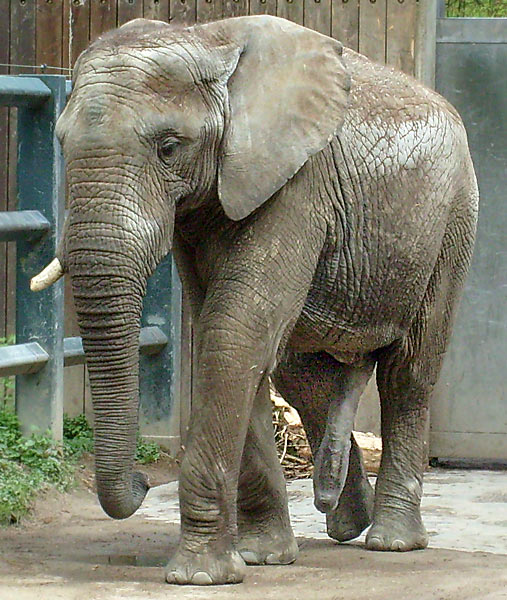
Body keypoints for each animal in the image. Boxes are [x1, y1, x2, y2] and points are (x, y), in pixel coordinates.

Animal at [32, 15, 480, 584]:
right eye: (61, 143)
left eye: (169, 147)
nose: (143, 480)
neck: (204, 39)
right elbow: (226, 338)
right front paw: (261, 556)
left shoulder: (299, 185)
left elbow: (232, 331)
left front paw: (199, 577)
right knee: (301, 374)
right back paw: (345, 522)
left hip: (453, 220)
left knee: (409, 372)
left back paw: (392, 542)